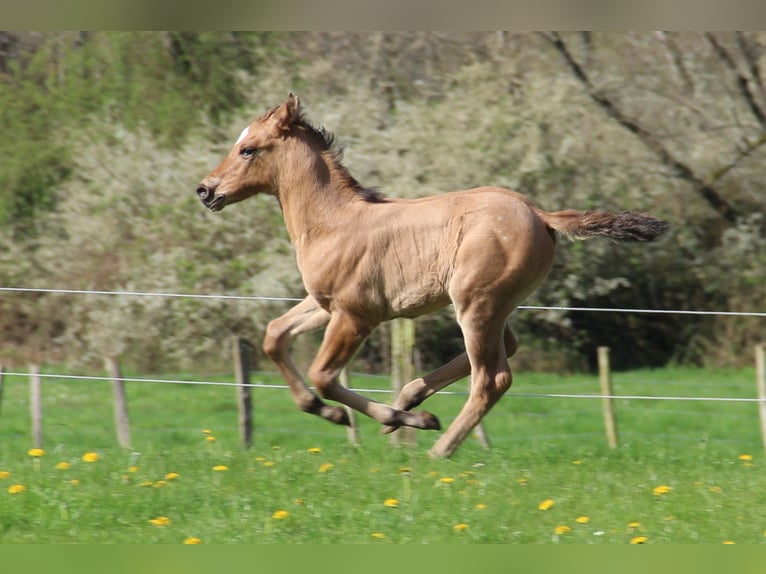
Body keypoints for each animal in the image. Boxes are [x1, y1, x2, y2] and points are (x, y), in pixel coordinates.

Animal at [198, 93, 672, 460]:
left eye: (248, 149)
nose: (205, 190)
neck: (333, 221)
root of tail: (540, 214)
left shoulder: (355, 315)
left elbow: (324, 376)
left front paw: (386, 418)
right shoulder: (323, 303)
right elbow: (274, 335)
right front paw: (332, 412)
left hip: (476, 303)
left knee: (493, 378)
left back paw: (438, 446)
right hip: (492, 305)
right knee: (508, 348)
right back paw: (413, 397)